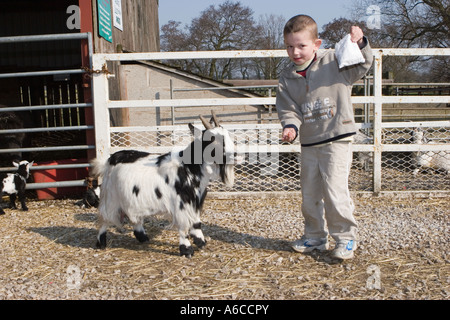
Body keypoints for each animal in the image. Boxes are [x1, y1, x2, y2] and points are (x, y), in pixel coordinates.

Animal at [89, 113, 234, 258]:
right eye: (212, 139)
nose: (233, 154)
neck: (188, 168)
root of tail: (110, 160)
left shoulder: (195, 201)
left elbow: (196, 222)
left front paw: (201, 242)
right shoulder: (181, 203)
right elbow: (184, 227)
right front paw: (187, 250)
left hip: (131, 199)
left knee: (134, 217)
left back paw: (142, 237)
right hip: (110, 198)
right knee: (105, 218)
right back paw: (101, 242)